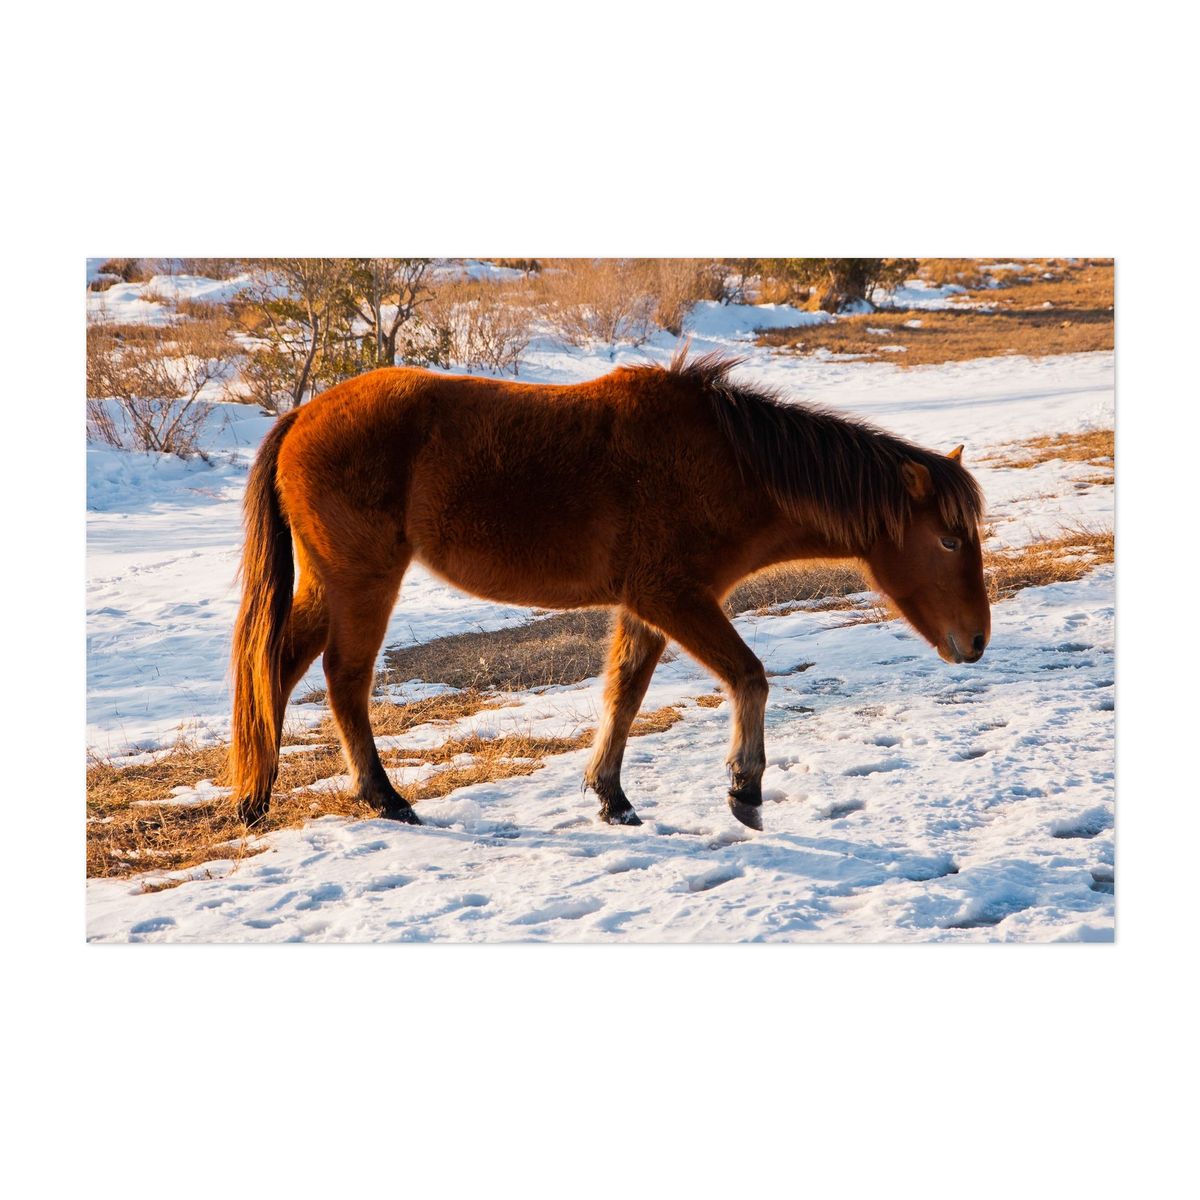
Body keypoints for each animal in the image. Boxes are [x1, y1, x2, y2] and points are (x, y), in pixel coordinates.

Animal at [229, 348, 989, 831]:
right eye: (949, 541)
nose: (977, 641)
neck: (727, 462)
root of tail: (303, 416)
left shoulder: (647, 608)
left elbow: (623, 694)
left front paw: (612, 795)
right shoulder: (673, 599)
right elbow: (748, 677)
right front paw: (745, 787)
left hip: (331, 584)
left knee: (278, 667)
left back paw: (255, 796)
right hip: (364, 581)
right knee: (345, 680)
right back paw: (382, 797)